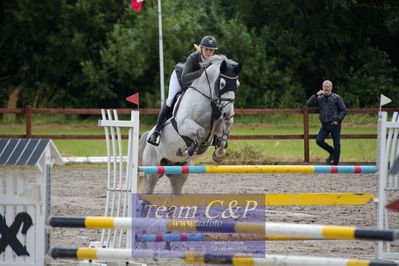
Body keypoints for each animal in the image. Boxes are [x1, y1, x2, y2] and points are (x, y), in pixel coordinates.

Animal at [139, 55, 242, 193]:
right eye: (222, 84)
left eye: (237, 85)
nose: (228, 113)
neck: (208, 99)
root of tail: (147, 135)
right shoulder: (183, 124)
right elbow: (200, 132)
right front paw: (191, 148)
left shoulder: (220, 123)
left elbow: (226, 127)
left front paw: (219, 154)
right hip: (152, 171)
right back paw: (157, 138)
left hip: (179, 174)